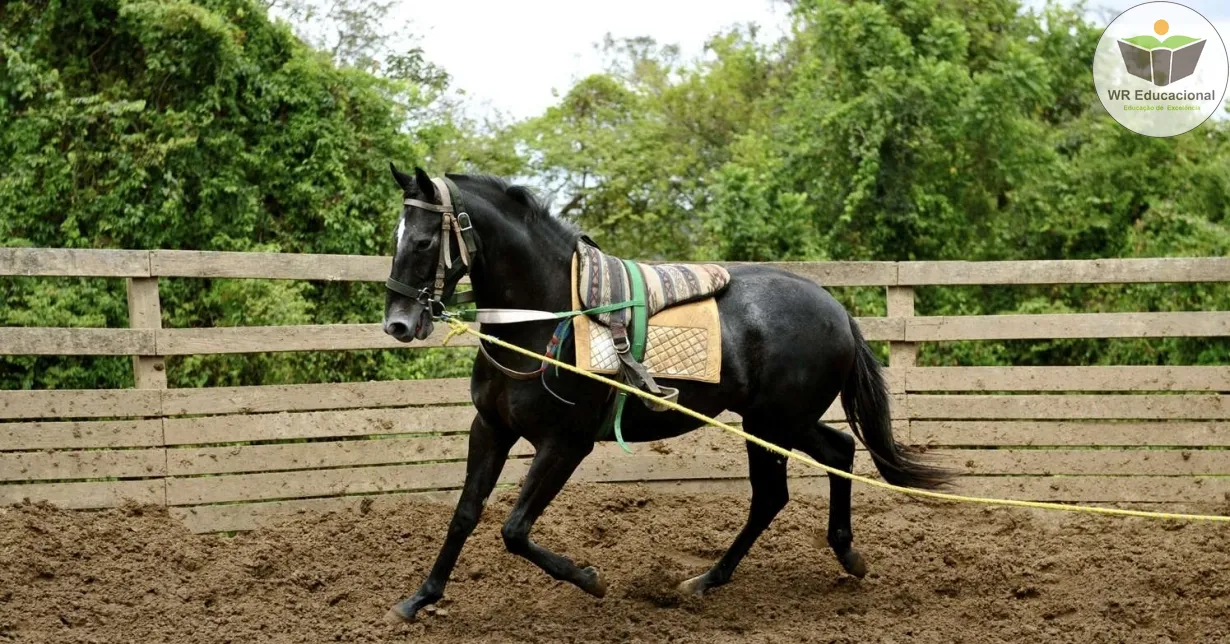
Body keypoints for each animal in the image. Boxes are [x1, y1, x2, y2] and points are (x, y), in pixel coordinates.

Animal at [383, 165, 949, 624]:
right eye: (397, 237)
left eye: (424, 242)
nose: (399, 324)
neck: (548, 317)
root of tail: (835, 309)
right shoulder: (491, 429)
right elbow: (465, 513)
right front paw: (418, 598)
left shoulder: (564, 444)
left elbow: (515, 529)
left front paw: (591, 580)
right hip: (779, 422)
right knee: (839, 451)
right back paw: (841, 555)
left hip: (770, 426)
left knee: (772, 495)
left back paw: (709, 579)